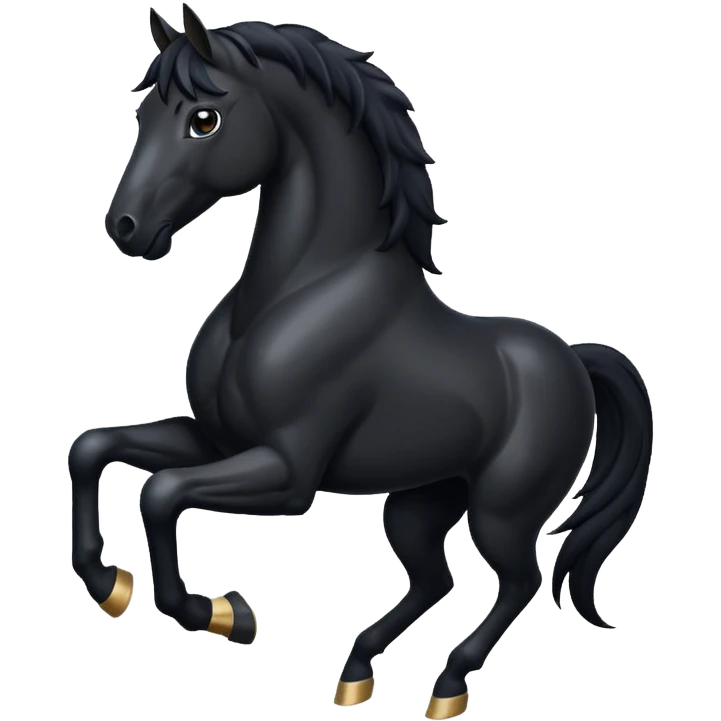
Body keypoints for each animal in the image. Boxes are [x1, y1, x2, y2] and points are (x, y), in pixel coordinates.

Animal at [71, 5, 654, 719]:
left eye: (203, 118)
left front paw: (224, 613)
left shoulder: (289, 473)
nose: (125, 227)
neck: (294, 295)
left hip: (502, 512)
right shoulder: (214, 439)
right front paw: (110, 586)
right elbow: (95, 449)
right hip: (419, 501)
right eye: (145, 111)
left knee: (520, 580)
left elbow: (160, 494)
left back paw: (447, 688)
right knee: (434, 578)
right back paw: (355, 675)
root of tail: (574, 357)